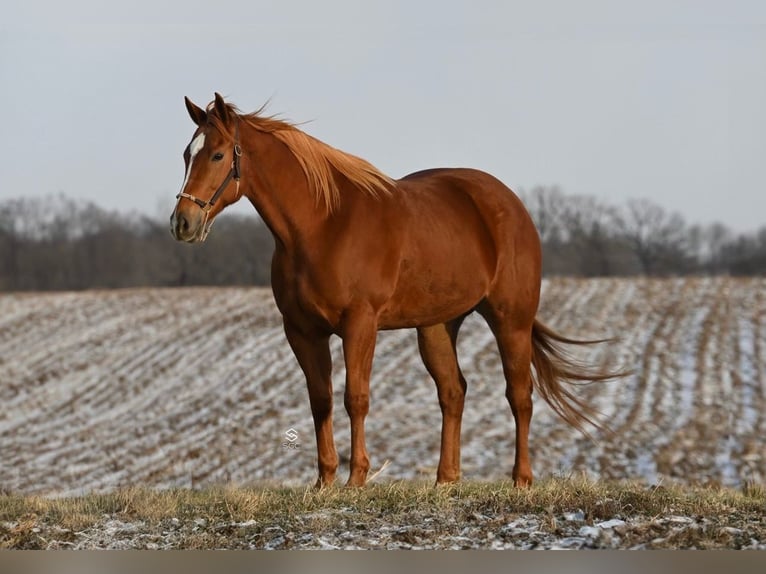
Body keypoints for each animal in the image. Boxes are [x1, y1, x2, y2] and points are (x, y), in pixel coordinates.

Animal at [170, 94, 616, 490]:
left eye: (217, 155)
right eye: (186, 155)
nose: (182, 223)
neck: (322, 226)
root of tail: (512, 205)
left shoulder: (359, 324)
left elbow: (355, 397)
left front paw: (356, 479)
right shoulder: (302, 331)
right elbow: (320, 400)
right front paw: (324, 481)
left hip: (511, 321)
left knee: (519, 395)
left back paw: (521, 479)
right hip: (437, 327)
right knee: (453, 392)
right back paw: (445, 481)